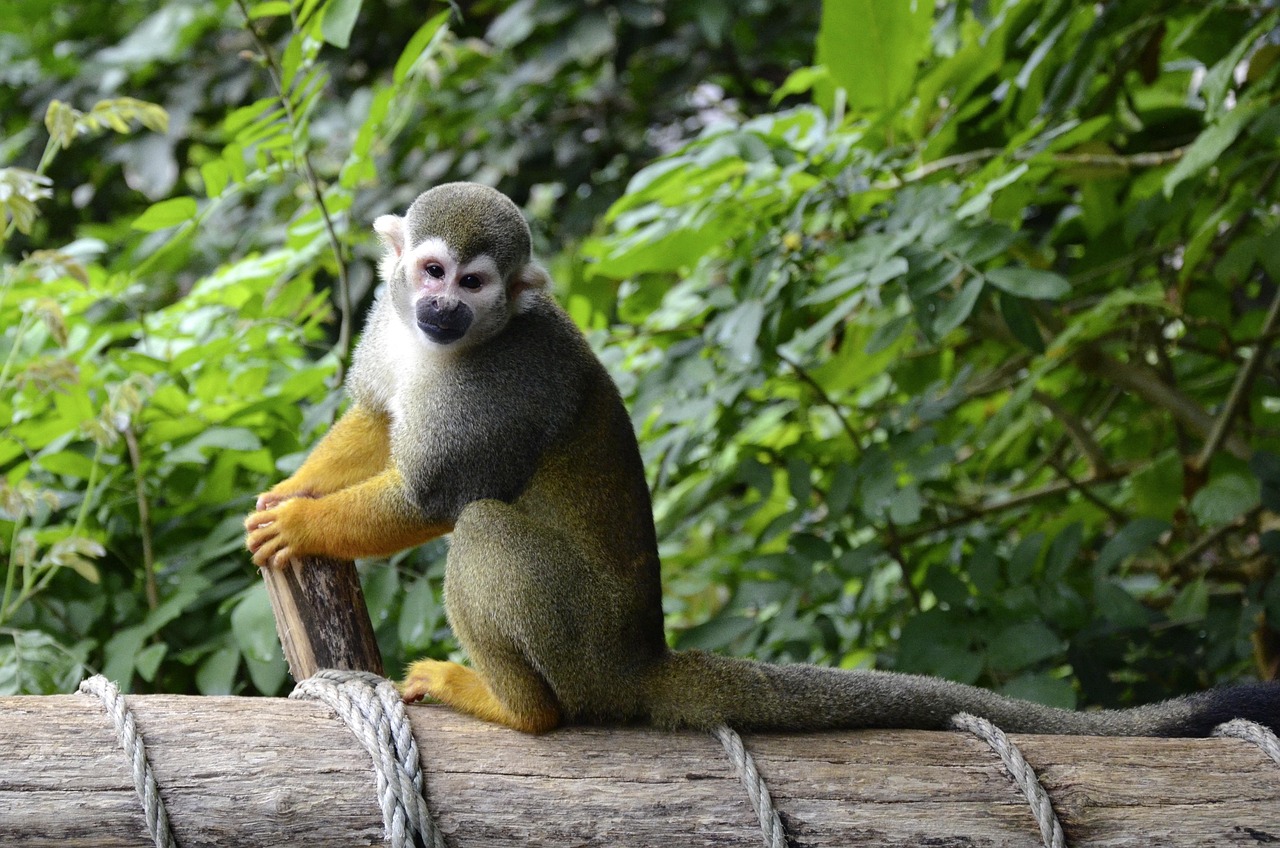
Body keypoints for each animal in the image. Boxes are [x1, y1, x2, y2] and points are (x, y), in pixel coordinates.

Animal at [244, 184, 1274, 737]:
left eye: (475, 281)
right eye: (430, 272)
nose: (443, 308)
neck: (458, 346)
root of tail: (642, 658)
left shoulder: (505, 379)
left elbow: (429, 492)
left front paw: (302, 522)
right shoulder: (394, 329)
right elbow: (376, 415)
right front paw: (294, 490)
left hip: (579, 647)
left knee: (487, 528)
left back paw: (515, 708)